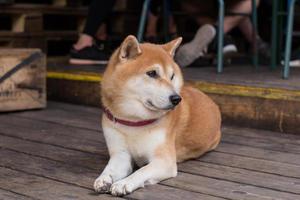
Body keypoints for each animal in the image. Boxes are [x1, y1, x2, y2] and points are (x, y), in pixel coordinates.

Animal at [95, 35, 221, 196]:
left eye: (172, 76)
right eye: (152, 73)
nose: (176, 98)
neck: (134, 121)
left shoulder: (164, 161)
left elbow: (141, 171)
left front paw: (123, 183)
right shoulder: (121, 155)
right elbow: (110, 169)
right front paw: (104, 179)